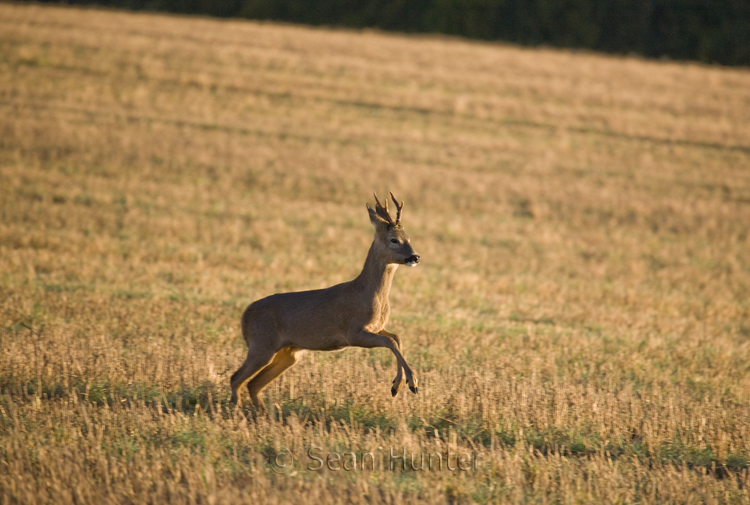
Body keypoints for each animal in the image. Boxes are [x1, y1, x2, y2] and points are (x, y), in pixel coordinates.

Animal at [231, 191, 424, 408]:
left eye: (408, 238)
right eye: (394, 240)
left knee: (253, 384)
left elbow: (396, 338)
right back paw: (235, 409)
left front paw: (397, 385)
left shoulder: (375, 327)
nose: (415, 257)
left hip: (287, 353)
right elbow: (390, 341)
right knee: (236, 378)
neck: (368, 294)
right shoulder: (353, 331)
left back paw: (263, 413)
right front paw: (411, 383)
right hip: (261, 344)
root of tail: (245, 315)